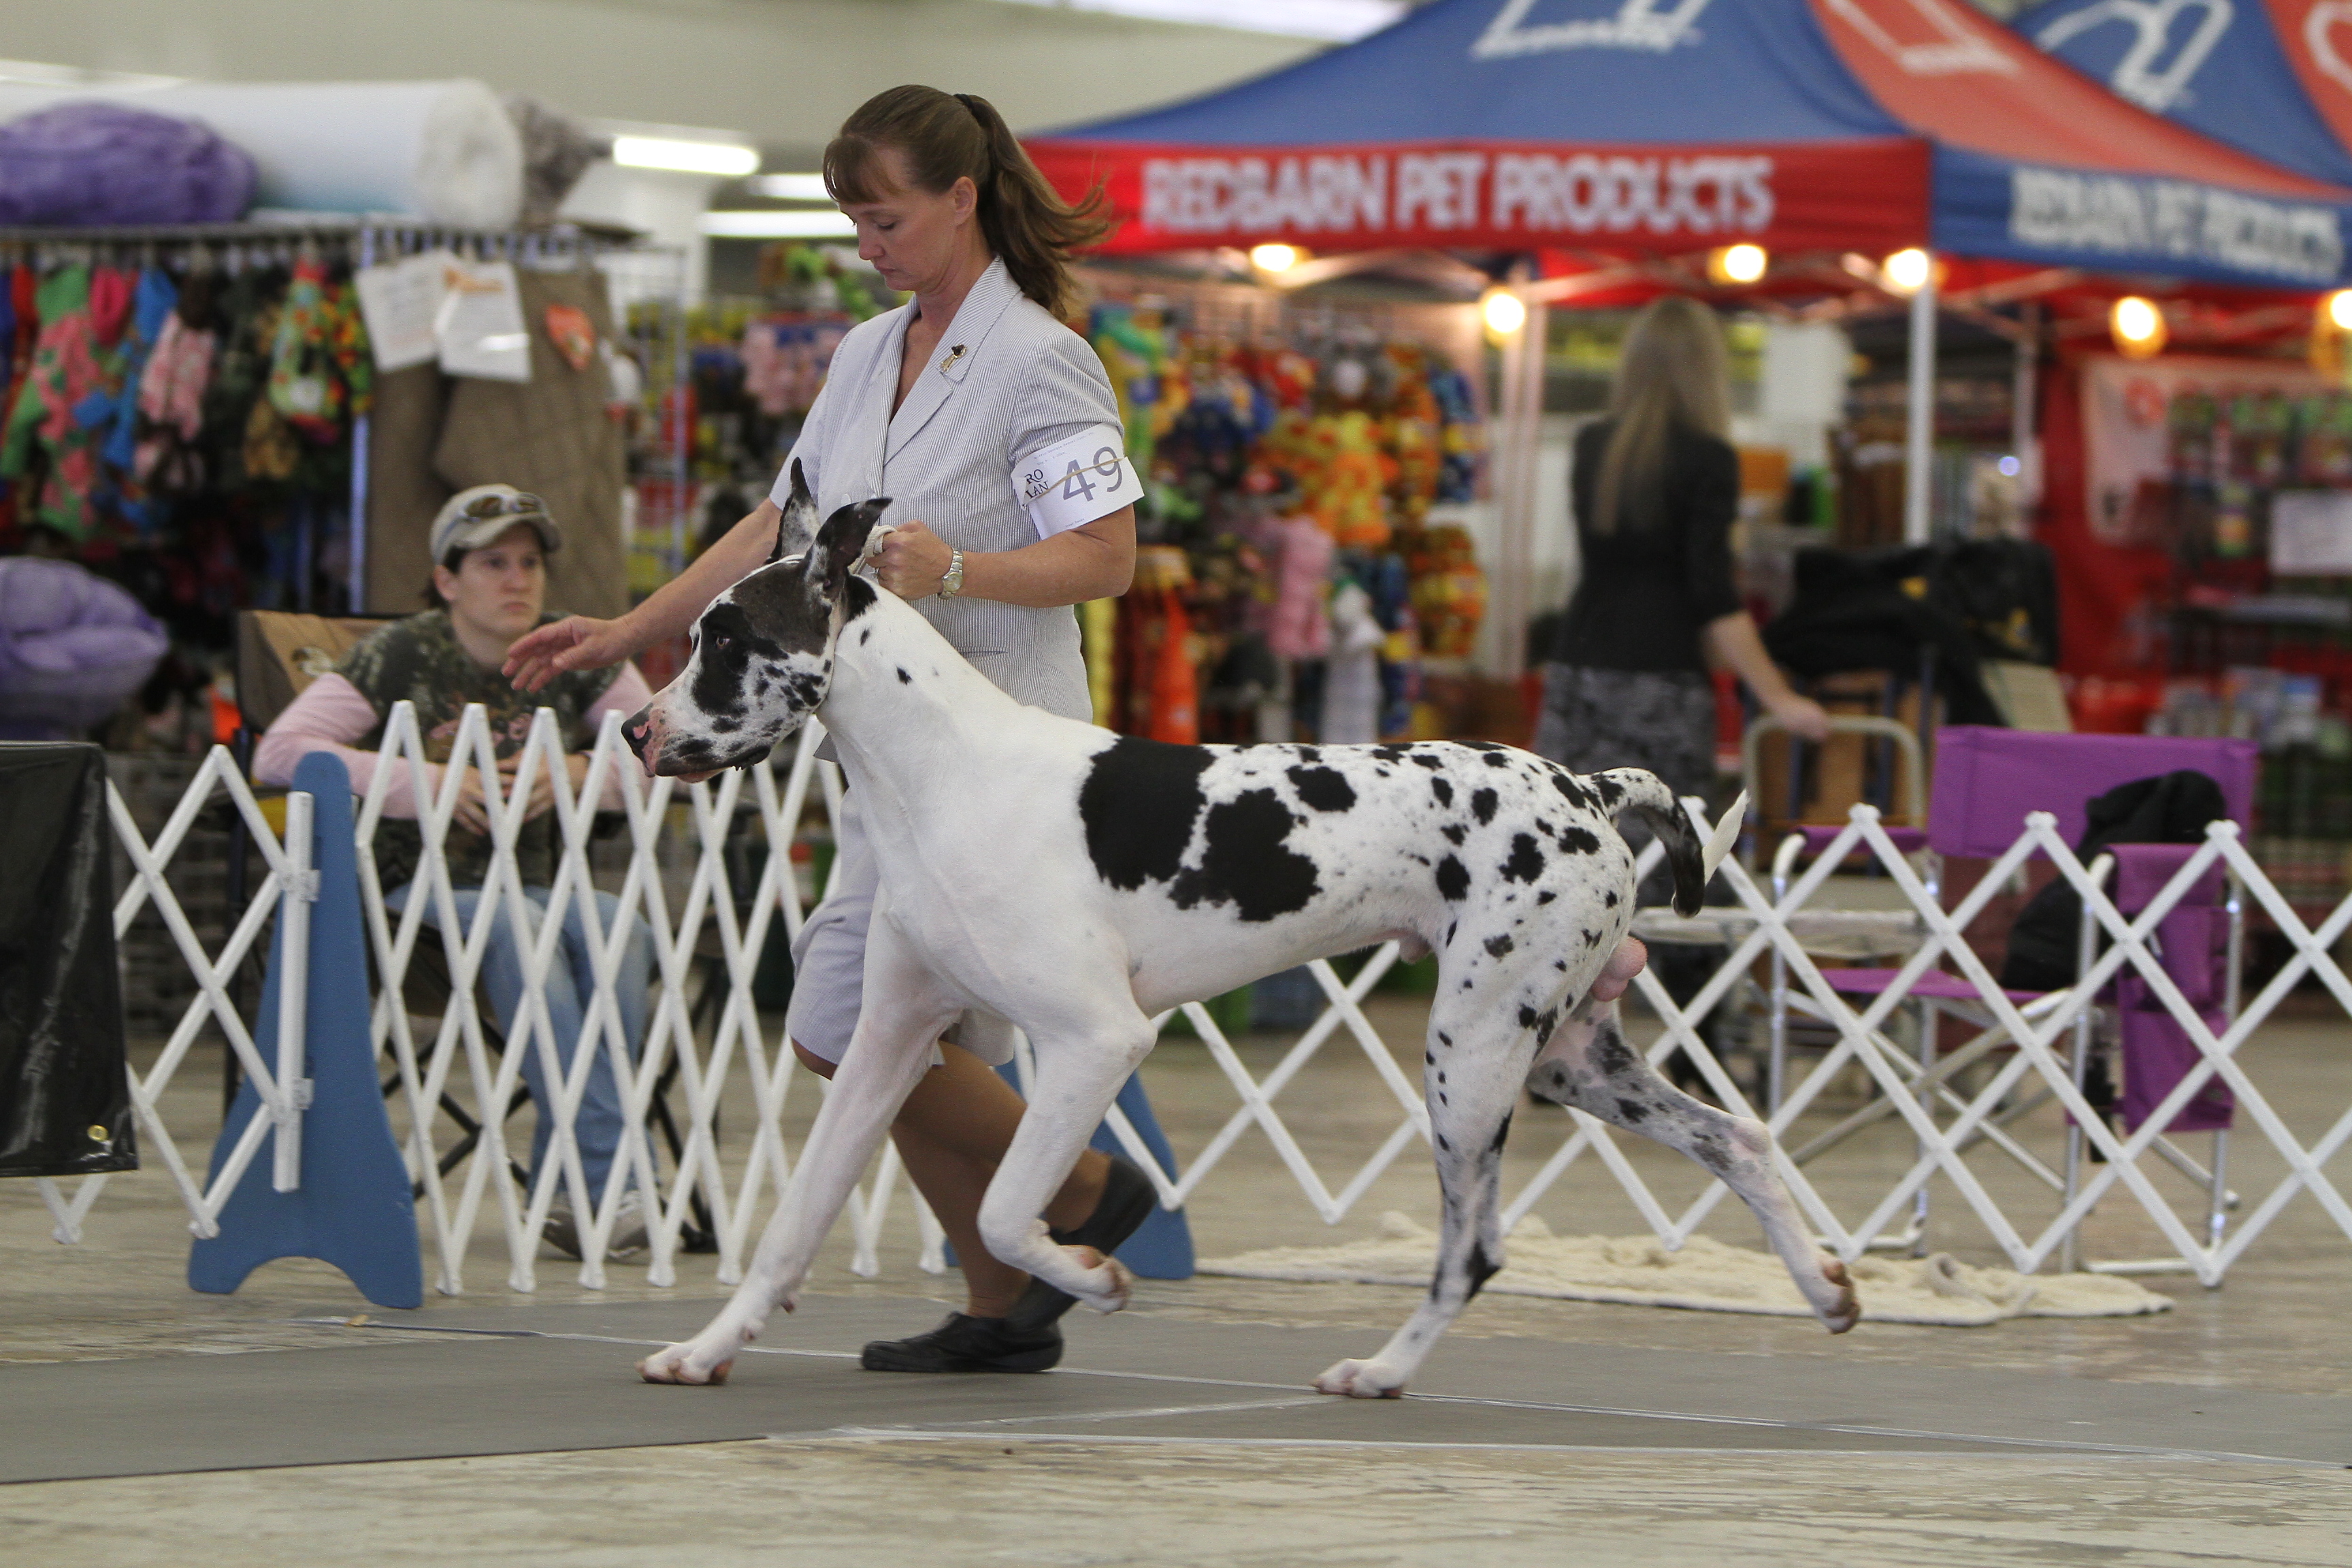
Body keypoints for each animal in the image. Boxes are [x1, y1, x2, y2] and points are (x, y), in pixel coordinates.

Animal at [625, 474, 1853, 1401]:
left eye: (725, 642)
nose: (636, 727)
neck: (945, 769)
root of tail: (1589, 789)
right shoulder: (887, 1044)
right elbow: (791, 1225)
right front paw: (708, 1346)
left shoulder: (1094, 1043)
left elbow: (1006, 1207)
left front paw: (1092, 1273)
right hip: (1566, 1057)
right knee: (1738, 1136)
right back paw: (1824, 1285)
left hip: (1471, 1063)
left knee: (1475, 1247)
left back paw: (1381, 1370)